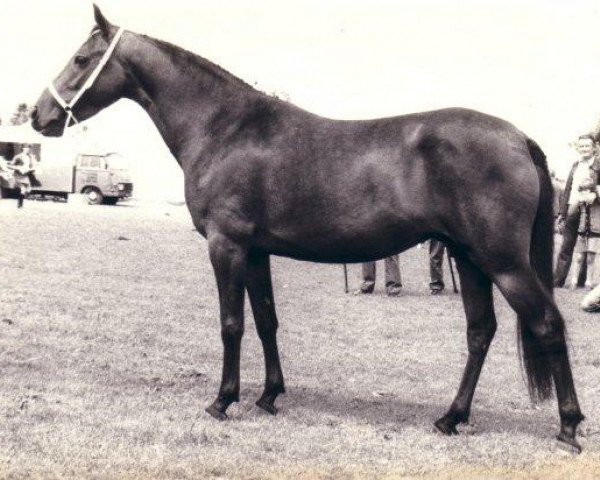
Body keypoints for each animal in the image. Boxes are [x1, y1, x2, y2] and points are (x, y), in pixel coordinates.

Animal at [30, 5, 584, 452]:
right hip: (467, 256)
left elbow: (231, 323)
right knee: (480, 331)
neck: (225, 128)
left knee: (547, 324)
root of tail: (518, 138)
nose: (37, 115)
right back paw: (450, 418)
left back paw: (568, 428)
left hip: (502, 261)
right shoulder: (255, 251)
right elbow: (267, 321)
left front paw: (223, 401)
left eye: (81, 58)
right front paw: (269, 396)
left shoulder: (227, 246)